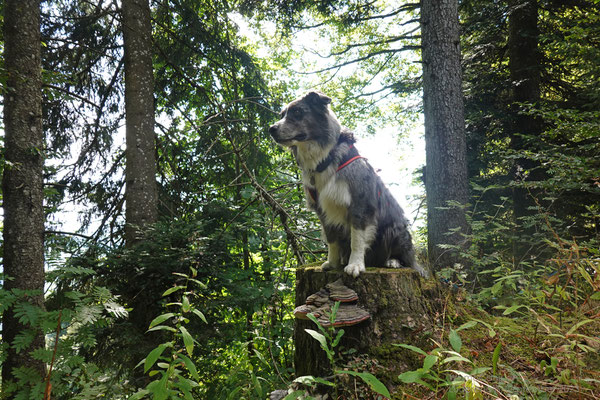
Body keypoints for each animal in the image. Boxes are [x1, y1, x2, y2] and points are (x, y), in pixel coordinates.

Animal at [268, 90, 426, 278]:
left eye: (298, 112)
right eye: (282, 115)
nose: (271, 129)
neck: (325, 160)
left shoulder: (360, 205)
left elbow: (356, 240)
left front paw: (355, 264)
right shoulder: (323, 210)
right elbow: (331, 240)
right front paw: (333, 263)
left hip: (395, 229)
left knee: (406, 257)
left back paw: (393, 261)